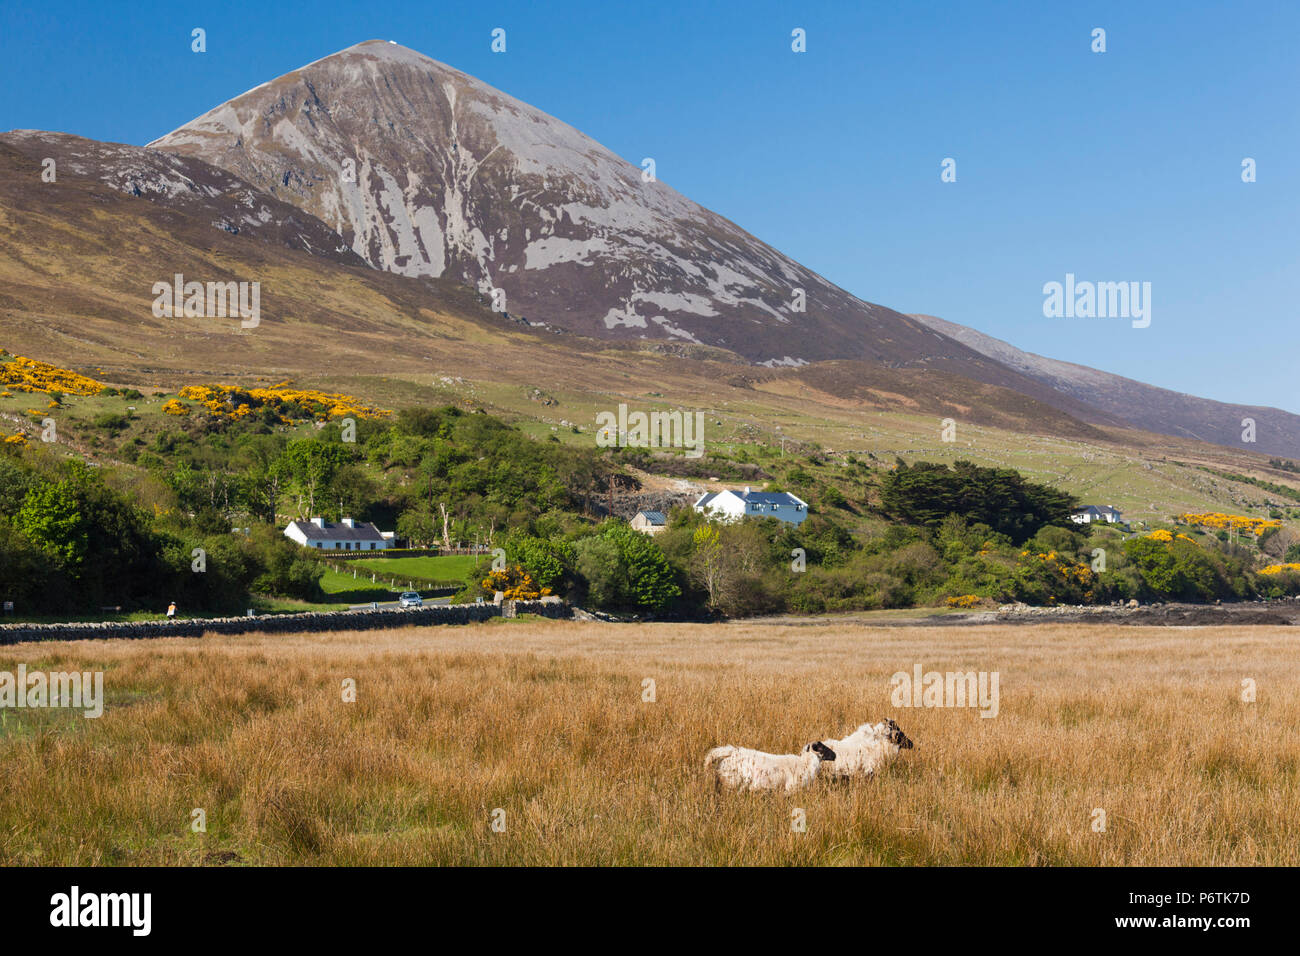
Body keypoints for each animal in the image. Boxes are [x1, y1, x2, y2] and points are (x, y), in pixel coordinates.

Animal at [707, 738, 837, 790]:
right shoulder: (790, 789)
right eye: (822, 747)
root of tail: (731, 752)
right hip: (732, 782)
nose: (834, 755)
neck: (805, 763)